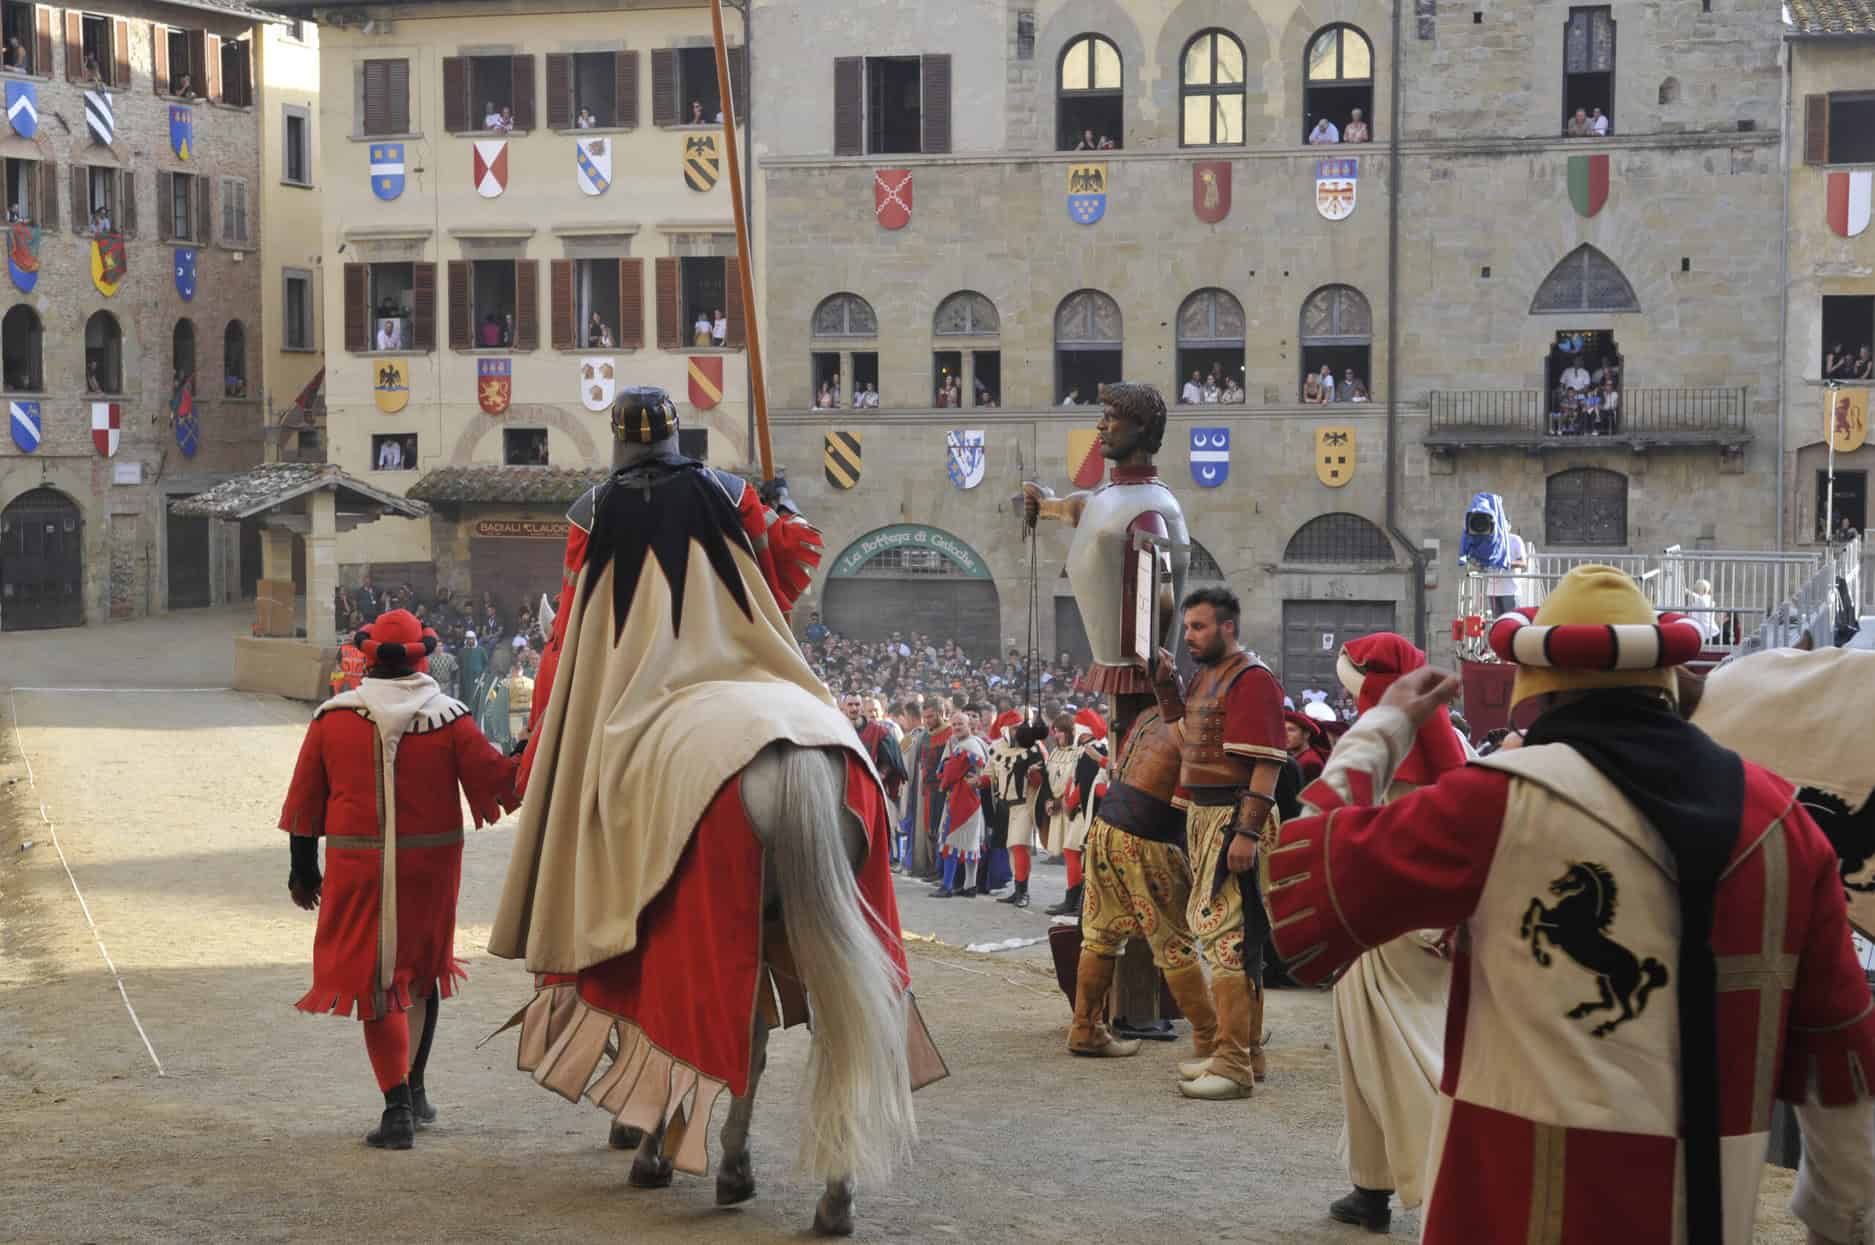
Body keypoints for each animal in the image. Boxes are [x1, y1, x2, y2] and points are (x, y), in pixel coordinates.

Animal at [1520, 862, 1669, 1038]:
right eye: (1567, 873)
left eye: (1573, 877)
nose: (1553, 886)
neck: (1581, 911)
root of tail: (1639, 968)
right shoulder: (1552, 925)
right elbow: (1536, 903)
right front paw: (1529, 936)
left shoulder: (1555, 934)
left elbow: (1537, 921)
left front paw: (1539, 952)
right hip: (1604, 981)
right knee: (1609, 1004)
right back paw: (1579, 1011)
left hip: (1620, 987)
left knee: (1627, 1012)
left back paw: (1602, 1029)